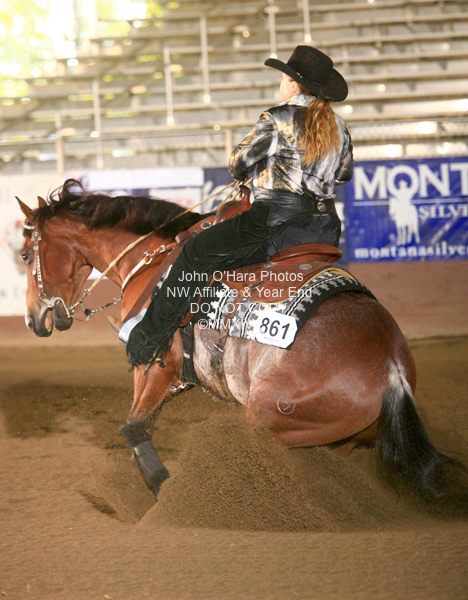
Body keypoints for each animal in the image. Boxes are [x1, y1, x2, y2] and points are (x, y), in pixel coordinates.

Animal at [17, 180, 448, 501]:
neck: (152, 261)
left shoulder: (156, 363)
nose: (34, 319)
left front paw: (159, 485)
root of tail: (391, 368)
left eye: (23, 255)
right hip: (338, 441)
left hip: (268, 423)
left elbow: (135, 426)